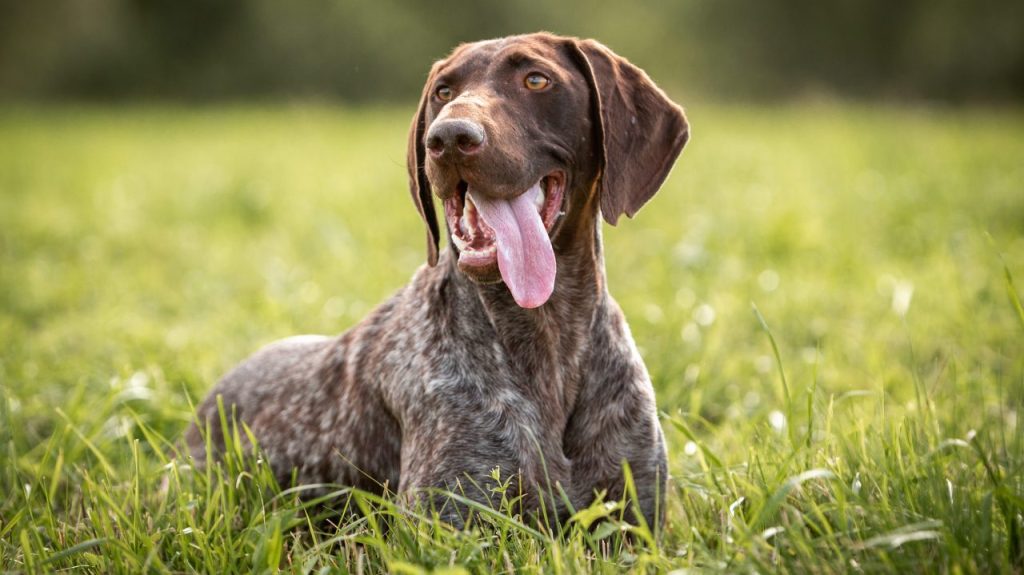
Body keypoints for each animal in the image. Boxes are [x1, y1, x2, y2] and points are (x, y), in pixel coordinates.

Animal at [188, 30, 692, 523]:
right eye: (443, 92)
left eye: (536, 80)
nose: (448, 136)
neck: (549, 338)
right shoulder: (453, 523)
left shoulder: (636, 519)